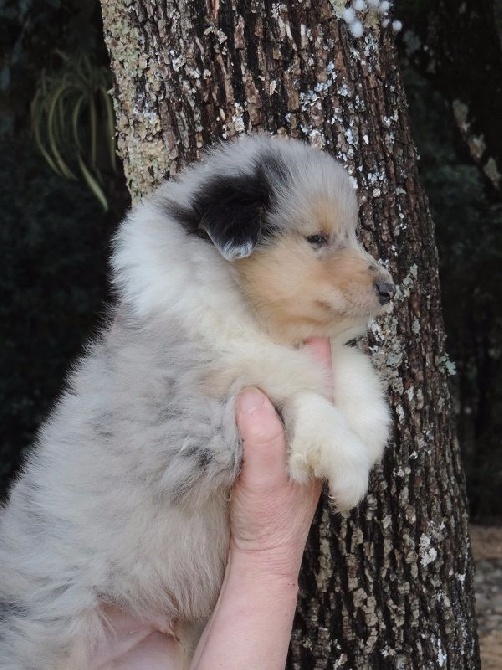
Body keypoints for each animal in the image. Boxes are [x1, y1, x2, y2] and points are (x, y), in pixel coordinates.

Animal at [0, 135, 392, 668]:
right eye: (316, 238)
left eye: (351, 233)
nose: (388, 289)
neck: (244, 313)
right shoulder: (189, 424)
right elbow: (286, 383)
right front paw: (347, 465)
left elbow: (335, 363)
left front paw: (369, 424)